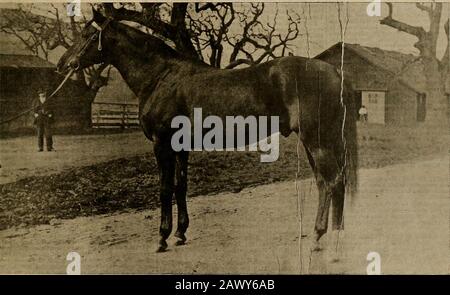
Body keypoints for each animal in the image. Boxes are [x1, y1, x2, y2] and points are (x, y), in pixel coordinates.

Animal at [58, 10, 356, 253]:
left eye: (85, 35)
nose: (62, 65)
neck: (160, 77)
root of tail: (334, 71)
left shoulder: (161, 144)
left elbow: (165, 188)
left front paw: (162, 238)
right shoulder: (180, 147)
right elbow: (180, 186)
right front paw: (180, 233)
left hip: (317, 141)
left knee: (332, 182)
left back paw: (322, 238)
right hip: (318, 141)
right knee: (326, 183)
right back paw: (331, 235)